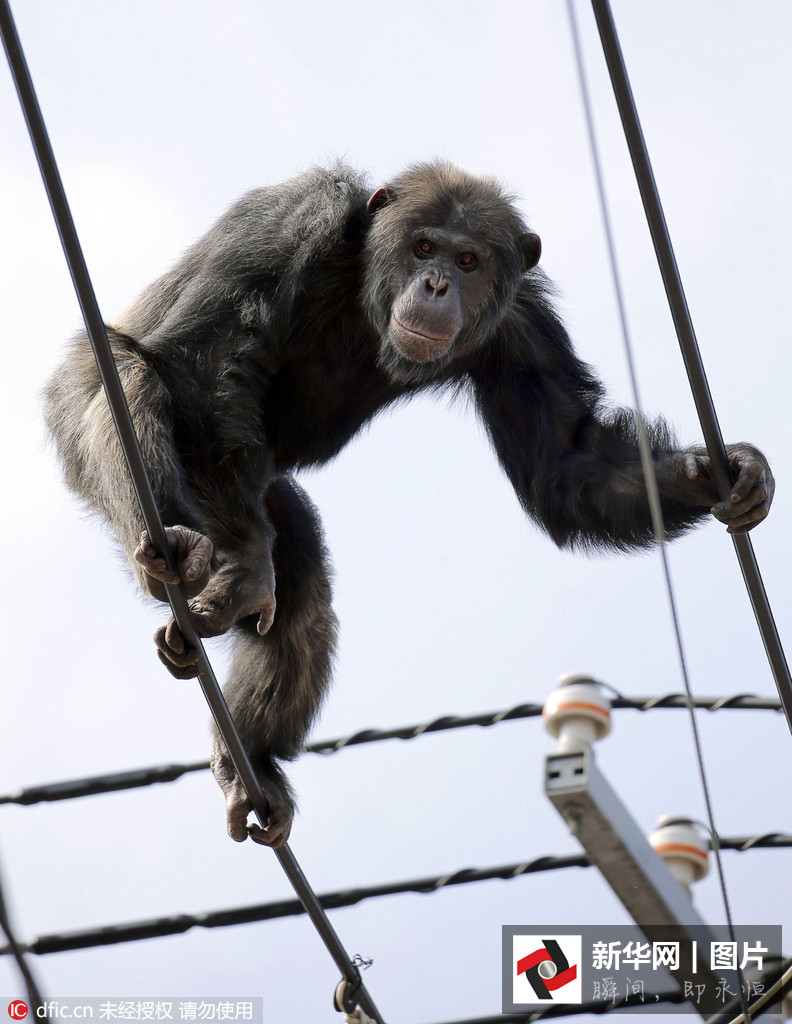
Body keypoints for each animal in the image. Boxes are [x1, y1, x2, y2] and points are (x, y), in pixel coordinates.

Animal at [43, 161, 770, 847]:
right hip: (117, 434)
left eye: (468, 260)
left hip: (261, 490)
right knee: (131, 380)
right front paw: (246, 566)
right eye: (424, 246)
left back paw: (250, 766)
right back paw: (192, 555)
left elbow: (567, 463)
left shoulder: (523, 325)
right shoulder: (292, 220)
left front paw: (717, 474)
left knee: (303, 596)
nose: (438, 284)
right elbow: (203, 366)